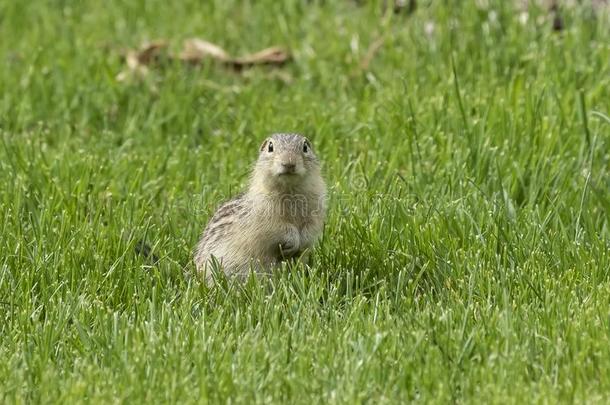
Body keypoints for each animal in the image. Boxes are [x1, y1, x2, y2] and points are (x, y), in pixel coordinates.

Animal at [195, 133, 328, 280]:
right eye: (270, 147)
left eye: (305, 147)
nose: (289, 163)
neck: (289, 190)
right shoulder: (265, 219)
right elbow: (277, 230)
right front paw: (292, 242)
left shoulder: (315, 213)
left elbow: (310, 230)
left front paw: (301, 242)